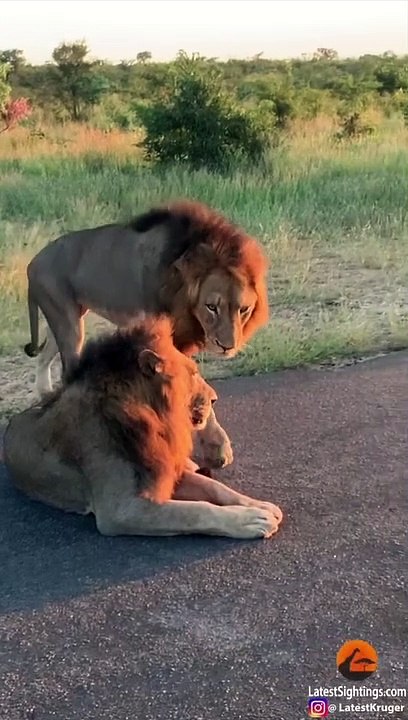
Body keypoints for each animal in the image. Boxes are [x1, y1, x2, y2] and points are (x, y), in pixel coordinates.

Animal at [5, 317, 282, 539]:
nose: (214, 397)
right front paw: (252, 520)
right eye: (193, 373)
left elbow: (214, 487)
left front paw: (260, 506)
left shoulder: (164, 469)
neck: (155, 420)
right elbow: (195, 511)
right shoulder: (121, 509)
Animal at [23, 200, 269, 470]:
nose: (227, 346)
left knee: (44, 357)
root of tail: (32, 262)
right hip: (68, 323)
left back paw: (45, 395)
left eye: (243, 309)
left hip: (65, 319)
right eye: (212, 306)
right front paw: (216, 446)